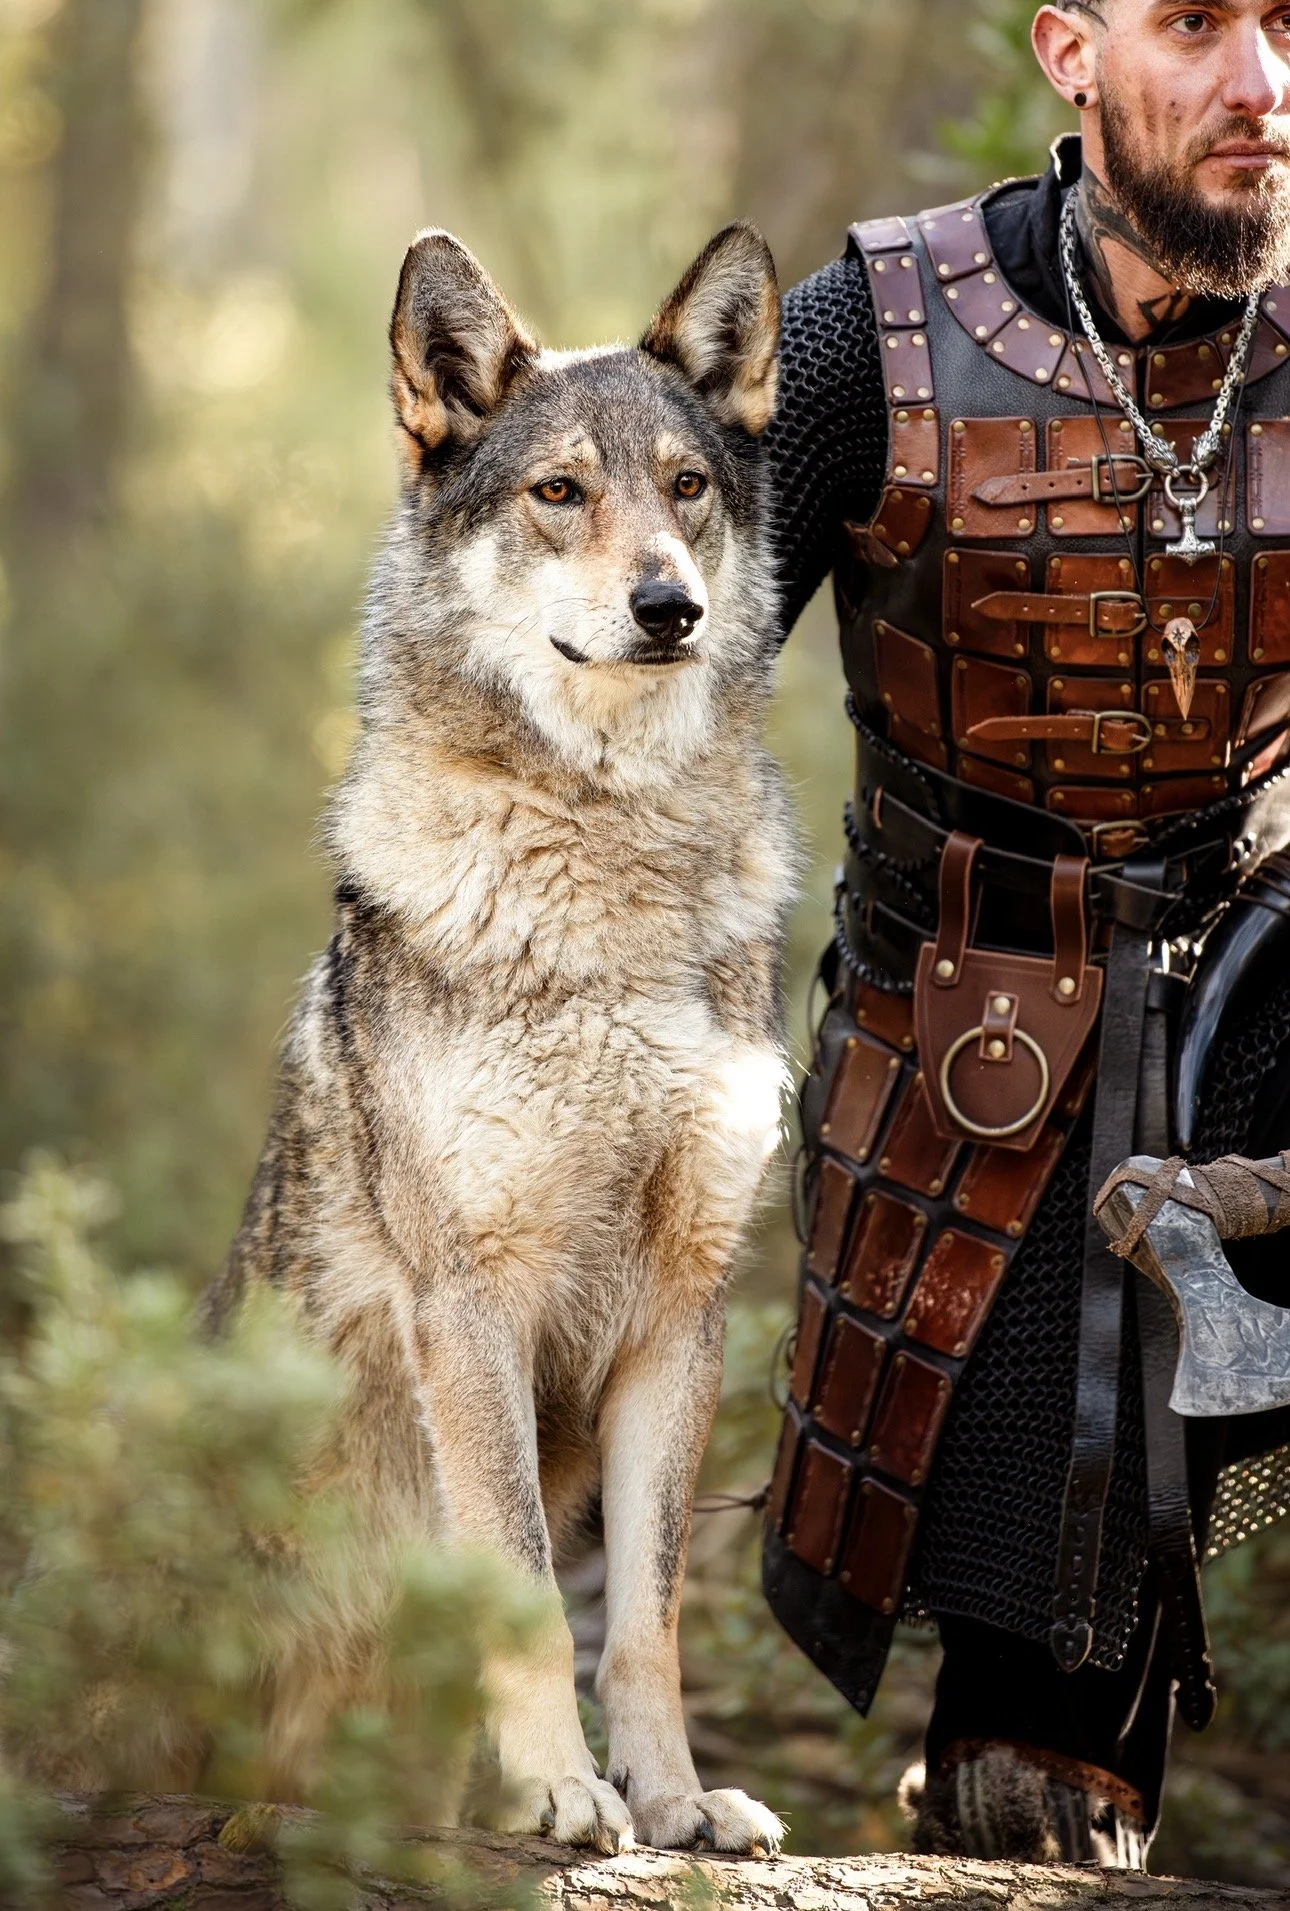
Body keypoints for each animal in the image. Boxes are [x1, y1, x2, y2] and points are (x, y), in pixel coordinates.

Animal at [207, 221, 793, 1857]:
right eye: (559, 493)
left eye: (688, 487)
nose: (671, 608)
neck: (603, 864)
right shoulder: (470, 1303)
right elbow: (525, 1583)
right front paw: (555, 1786)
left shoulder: (683, 1311)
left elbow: (646, 1615)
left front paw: (673, 1797)